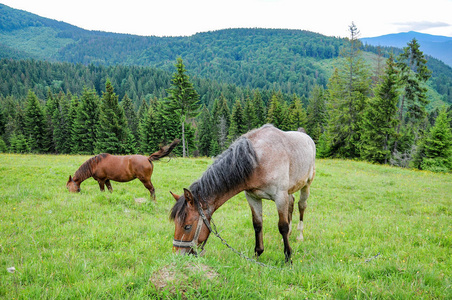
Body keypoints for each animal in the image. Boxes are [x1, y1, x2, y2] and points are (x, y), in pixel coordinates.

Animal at [171, 124, 316, 262]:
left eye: (187, 227)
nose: (177, 254)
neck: (257, 161)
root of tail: (306, 136)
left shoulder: (280, 197)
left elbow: (282, 226)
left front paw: (288, 258)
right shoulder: (253, 197)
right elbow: (257, 225)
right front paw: (257, 254)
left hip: (306, 185)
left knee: (301, 206)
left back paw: (299, 235)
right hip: (289, 191)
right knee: (291, 204)